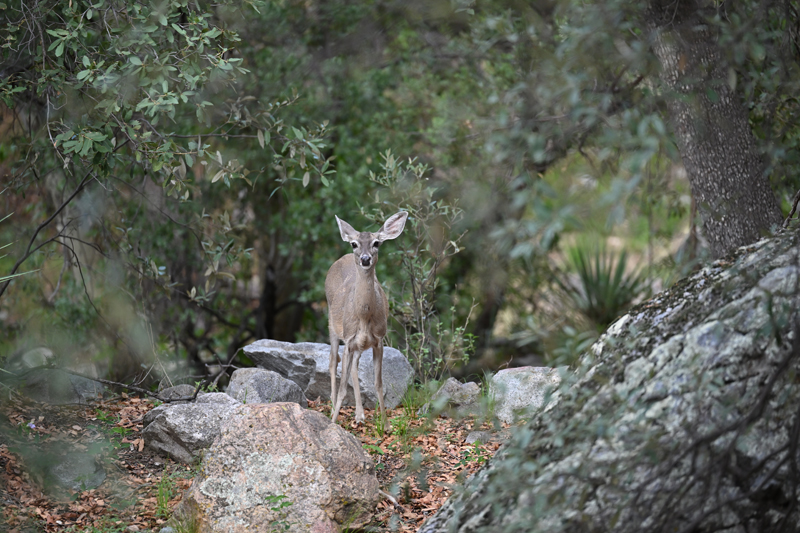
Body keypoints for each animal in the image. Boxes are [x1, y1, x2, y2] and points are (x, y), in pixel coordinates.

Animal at [324, 212, 410, 424]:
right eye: (354, 243)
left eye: (376, 243)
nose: (365, 259)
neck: (364, 317)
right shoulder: (348, 339)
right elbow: (343, 387)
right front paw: (333, 422)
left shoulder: (378, 340)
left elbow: (378, 383)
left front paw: (385, 424)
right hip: (332, 324)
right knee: (332, 361)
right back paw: (334, 409)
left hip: (360, 343)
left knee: (354, 365)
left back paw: (360, 414)